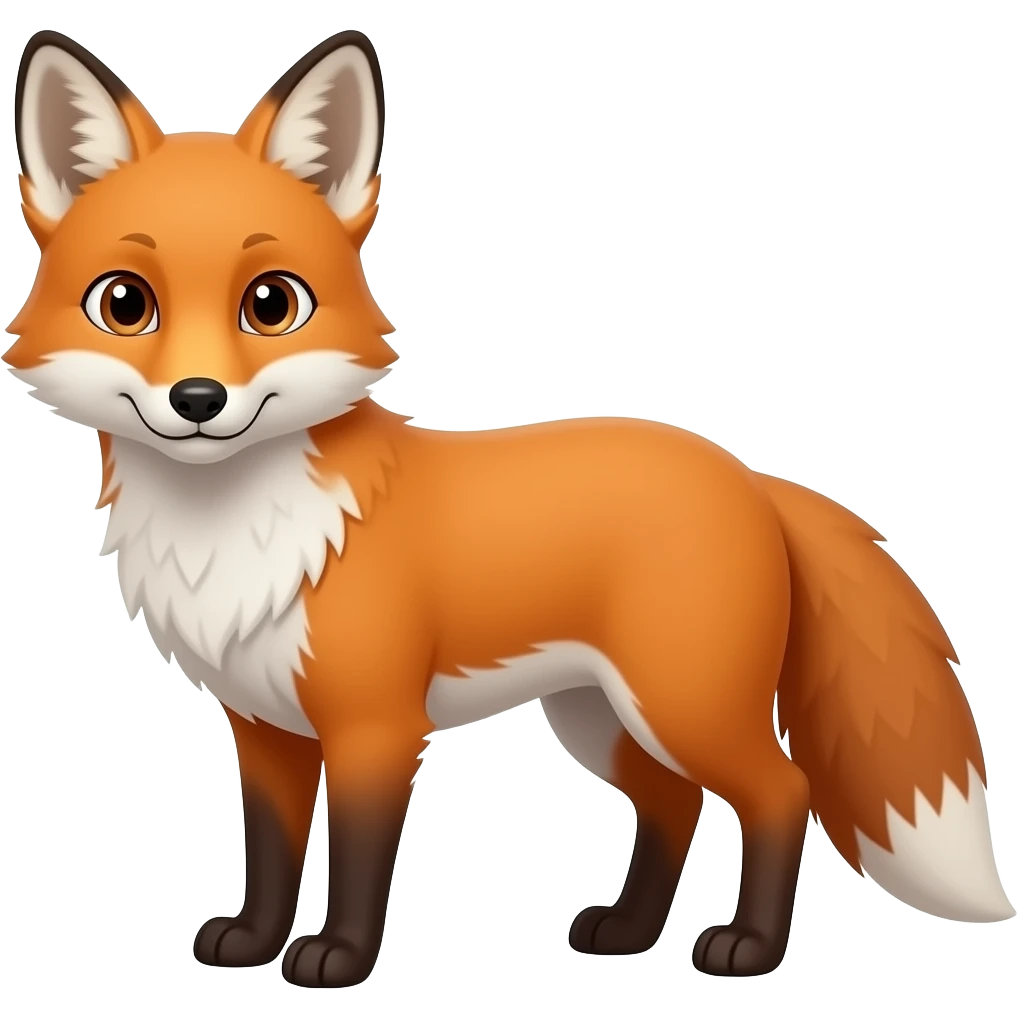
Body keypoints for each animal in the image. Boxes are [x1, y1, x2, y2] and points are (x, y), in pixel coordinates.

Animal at [4, 27, 1014, 989]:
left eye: (272, 304)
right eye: (125, 304)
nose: (199, 399)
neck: (236, 533)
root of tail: (748, 475)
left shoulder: (376, 727)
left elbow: (358, 861)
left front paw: (338, 960)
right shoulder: (265, 728)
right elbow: (273, 852)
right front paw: (253, 940)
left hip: (683, 704)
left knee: (782, 791)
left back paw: (750, 949)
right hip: (600, 718)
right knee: (674, 802)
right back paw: (627, 933)